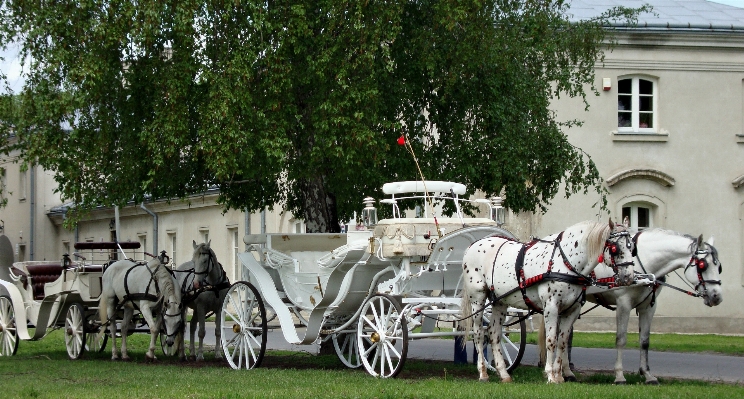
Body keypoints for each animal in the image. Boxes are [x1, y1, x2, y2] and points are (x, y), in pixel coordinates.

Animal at [460, 220, 632, 382]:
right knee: (479, 334)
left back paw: (504, 374)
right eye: (616, 248)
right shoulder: (551, 306)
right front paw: (550, 375)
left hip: (499, 302)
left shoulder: (572, 310)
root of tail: (473, 245)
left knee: (494, 333)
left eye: (632, 248)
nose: (628, 277)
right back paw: (483, 373)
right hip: (478, 300)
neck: (565, 262)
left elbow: (562, 341)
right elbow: (551, 340)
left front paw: (559, 376)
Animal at [556, 231, 724, 384]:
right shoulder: (623, 304)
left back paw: (567, 371)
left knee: (565, 335)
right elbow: (621, 339)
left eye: (719, 267)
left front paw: (647, 375)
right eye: (703, 266)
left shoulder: (648, 307)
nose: (717, 297)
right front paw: (619, 376)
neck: (642, 264)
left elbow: (644, 341)